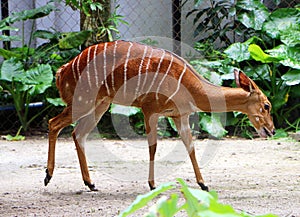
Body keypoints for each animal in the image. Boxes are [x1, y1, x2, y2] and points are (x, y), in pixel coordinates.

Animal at [43, 40, 276, 192]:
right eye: (266, 105)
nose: (272, 130)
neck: (192, 87)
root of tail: (62, 71)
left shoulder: (180, 116)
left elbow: (190, 147)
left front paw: (203, 184)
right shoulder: (150, 109)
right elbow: (153, 147)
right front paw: (152, 184)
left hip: (100, 105)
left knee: (78, 133)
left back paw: (90, 183)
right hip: (82, 102)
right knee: (54, 123)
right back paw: (48, 176)